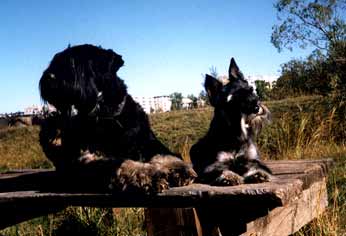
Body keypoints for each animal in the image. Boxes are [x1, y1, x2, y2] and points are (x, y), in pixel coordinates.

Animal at [39, 44, 196, 194]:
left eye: (74, 62)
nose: (48, 77)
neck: (110, 116)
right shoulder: (88, 159)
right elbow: (122, 164)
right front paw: (150, 175)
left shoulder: (150, 144)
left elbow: (165, 155)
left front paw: (180, 169)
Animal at [189, 57, 274, 186]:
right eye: (233, 100)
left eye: (251, 90)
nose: (256, 108)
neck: (235, 137)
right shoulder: (213, 165)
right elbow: (220, 169)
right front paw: (229, 176)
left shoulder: (252, 160)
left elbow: (255, 167)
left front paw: (257, 174)